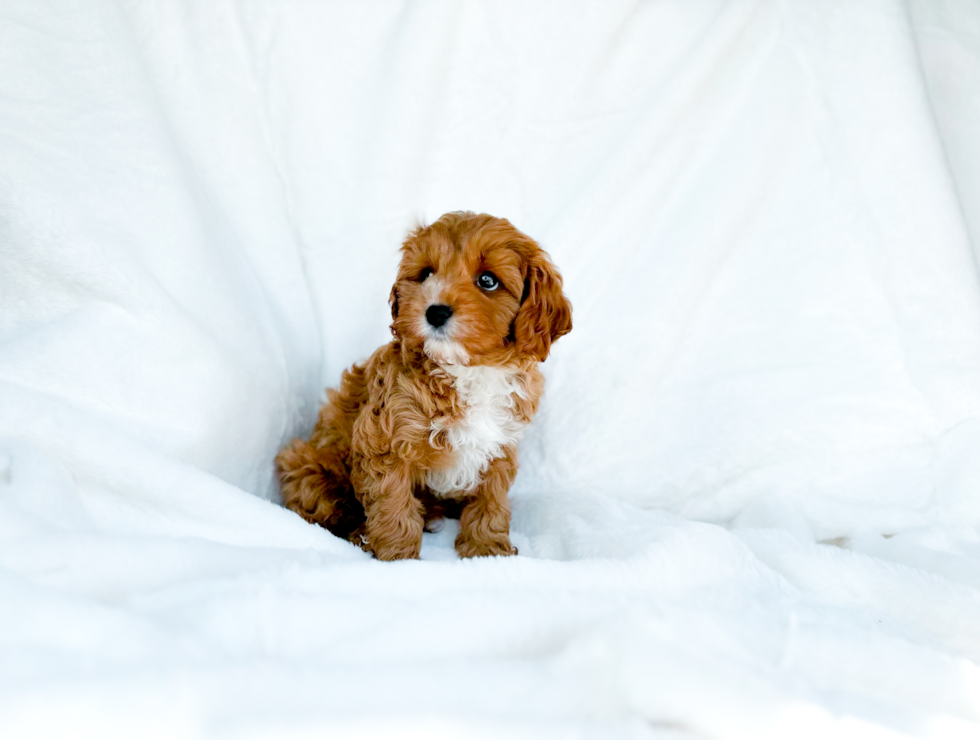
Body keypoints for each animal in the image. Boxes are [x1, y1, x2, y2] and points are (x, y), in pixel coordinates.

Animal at [276, 212, 572, 560]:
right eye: (427, 274)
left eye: (488, 281)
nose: (436, 311)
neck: (468, 371)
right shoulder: (386, 440)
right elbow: (393, 502)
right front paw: (397, 556)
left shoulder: (500, 444)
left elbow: (491, 500)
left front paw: (486, 549)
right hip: (309, 466)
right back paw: (359, 534)